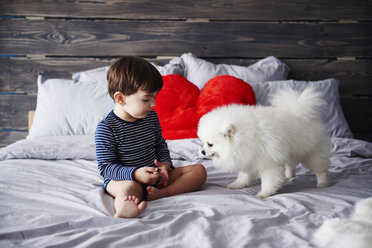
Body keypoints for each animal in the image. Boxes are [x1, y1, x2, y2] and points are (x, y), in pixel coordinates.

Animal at [198, 87, 332, 198]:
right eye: (203, 142)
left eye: (210, 144)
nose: (202, 151)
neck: (244, 136)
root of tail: (301, 112)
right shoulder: (248, 158)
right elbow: (244, 176)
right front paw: (238, 184)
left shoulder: (268, 162)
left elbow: (269, 180)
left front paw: (264, 193)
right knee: (291, 163)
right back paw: (289, 175)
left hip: (312, 152)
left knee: (320, 169)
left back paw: (322, 182)